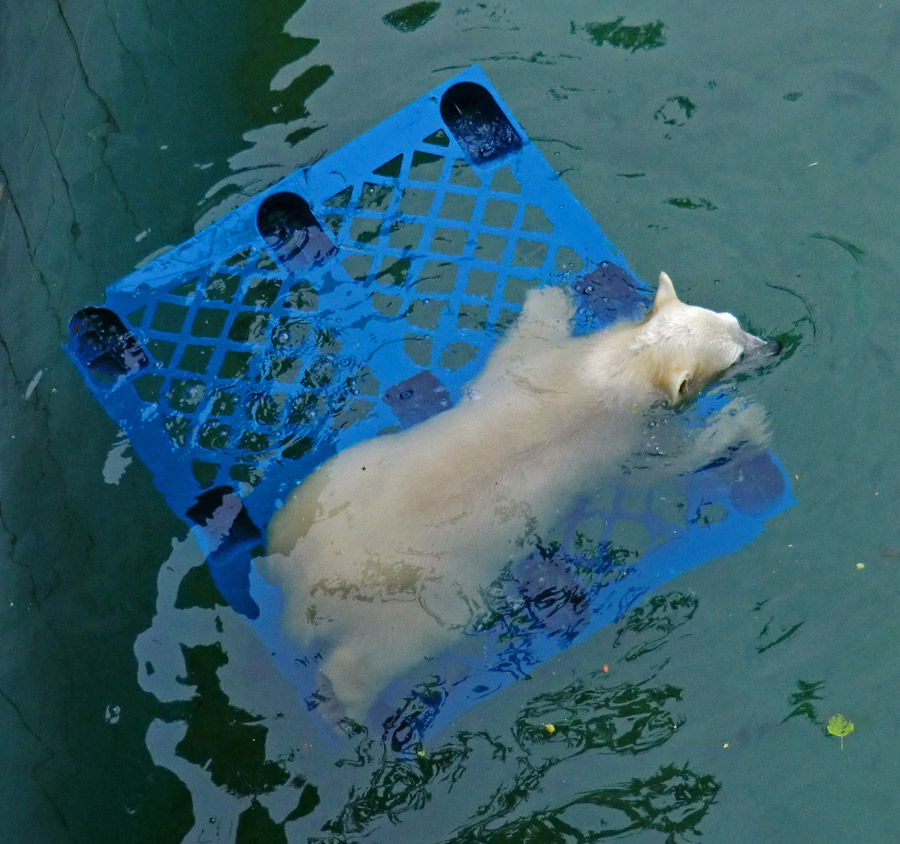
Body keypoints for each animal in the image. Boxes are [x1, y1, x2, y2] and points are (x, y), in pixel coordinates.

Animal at [260, 274, 772, 724]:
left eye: (735, 322)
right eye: (735, 355)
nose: (776, 347)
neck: (618, 373)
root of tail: (305, 586)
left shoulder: (540, 368)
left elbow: (520, 347)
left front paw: (550, 298)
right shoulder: (632, 436)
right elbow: (676, 461)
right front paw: (749, 419)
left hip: (334, 481)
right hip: (430, 599)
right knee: (391, 648)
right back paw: (344, 702)